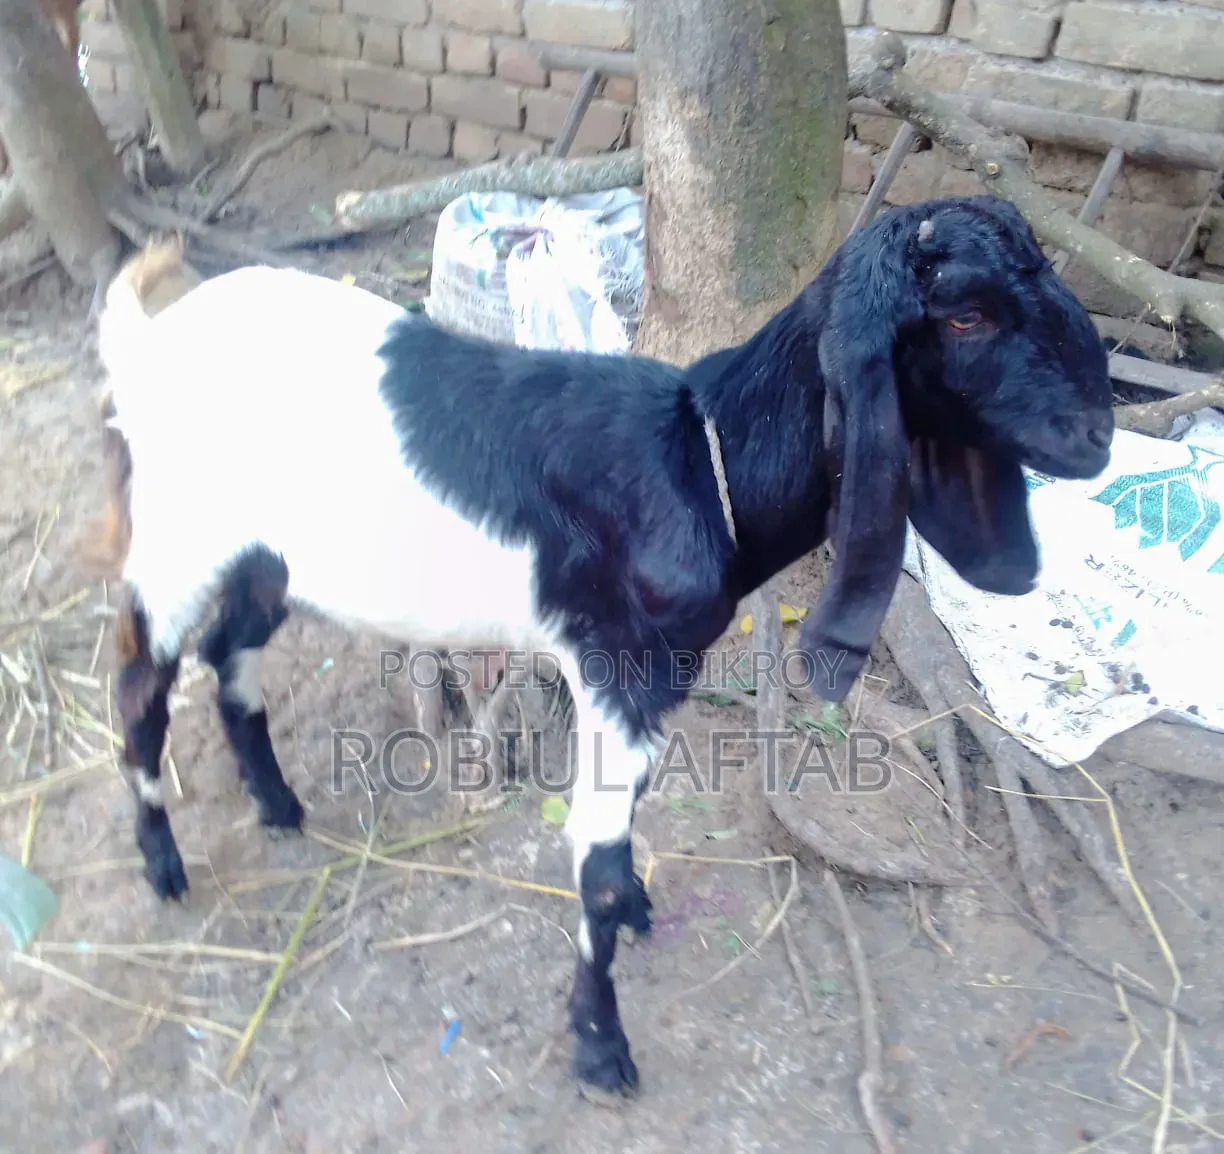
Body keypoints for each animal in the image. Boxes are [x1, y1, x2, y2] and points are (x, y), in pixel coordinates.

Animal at [89, 195, 1113, 1102]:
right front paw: (599, 1047)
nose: (1099, 437)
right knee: (142, 683)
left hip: (273, 556)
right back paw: (163, 866)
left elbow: (623, 846)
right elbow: (596, 869)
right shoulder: (617, 673)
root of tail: (154, 338)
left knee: (230, 653)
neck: (701, 461)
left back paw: (277, 804)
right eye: (967, 315)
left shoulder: (655, 688)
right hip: (177, 539)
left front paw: (639, 923)